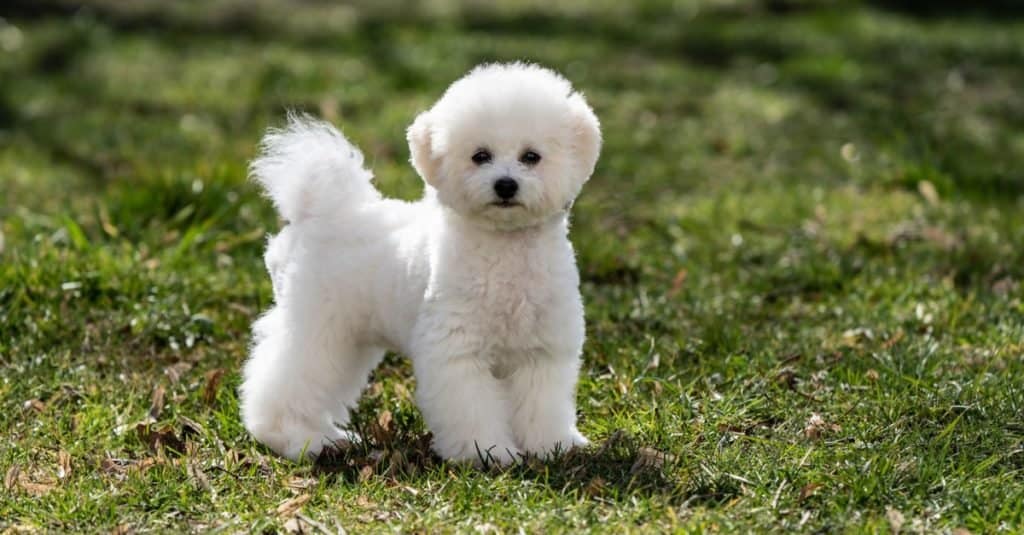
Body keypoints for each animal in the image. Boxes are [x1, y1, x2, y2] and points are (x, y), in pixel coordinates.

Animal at [238, 61, 598, 461]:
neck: (506, 251)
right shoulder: (457, 351)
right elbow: (471, 407)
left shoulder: (541, 352)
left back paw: (329, 437)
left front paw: (552, 445)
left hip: (349, 340)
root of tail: (318, 212)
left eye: (531, 157)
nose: (505, 185)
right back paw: (294, 438)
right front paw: (487, 453)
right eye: (480, 156)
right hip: (317, 326)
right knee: (285, 381)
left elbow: (543, 405)